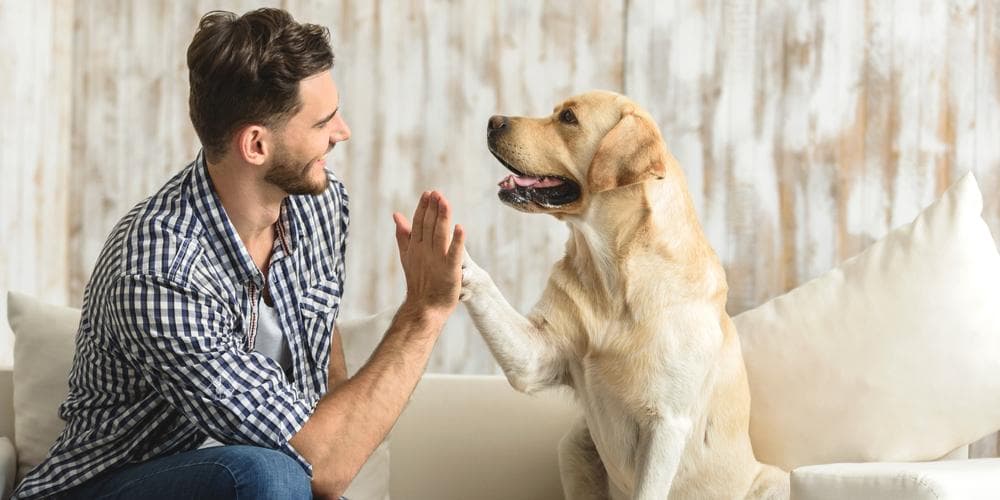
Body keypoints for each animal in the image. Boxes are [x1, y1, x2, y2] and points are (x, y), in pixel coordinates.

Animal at [460, 92, 788, 498]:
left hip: (774, 480)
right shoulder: (535, 357)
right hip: (575, 443)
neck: (613, 275)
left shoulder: (666, 423)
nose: (493, 121)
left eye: (568, 118)